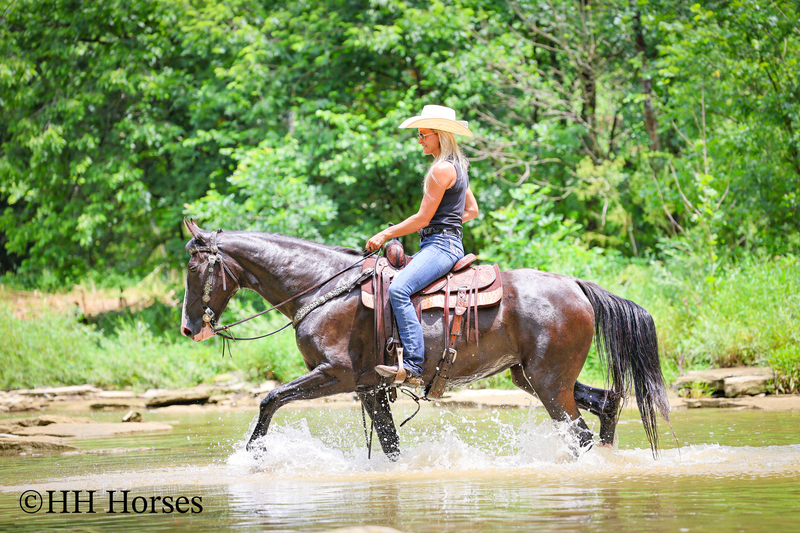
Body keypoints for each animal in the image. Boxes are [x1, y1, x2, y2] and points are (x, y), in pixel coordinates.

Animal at [180, 219, 671, 460]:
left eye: (192, 267)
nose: (188, 327)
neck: (322, 287)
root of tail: (575, 285)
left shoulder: (336, 375)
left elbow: (269, 399)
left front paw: (254, 454)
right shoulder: (368, 387)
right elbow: (390, 445)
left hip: (550, 384)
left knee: (580, 435)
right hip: (532, 377)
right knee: (608, 402)